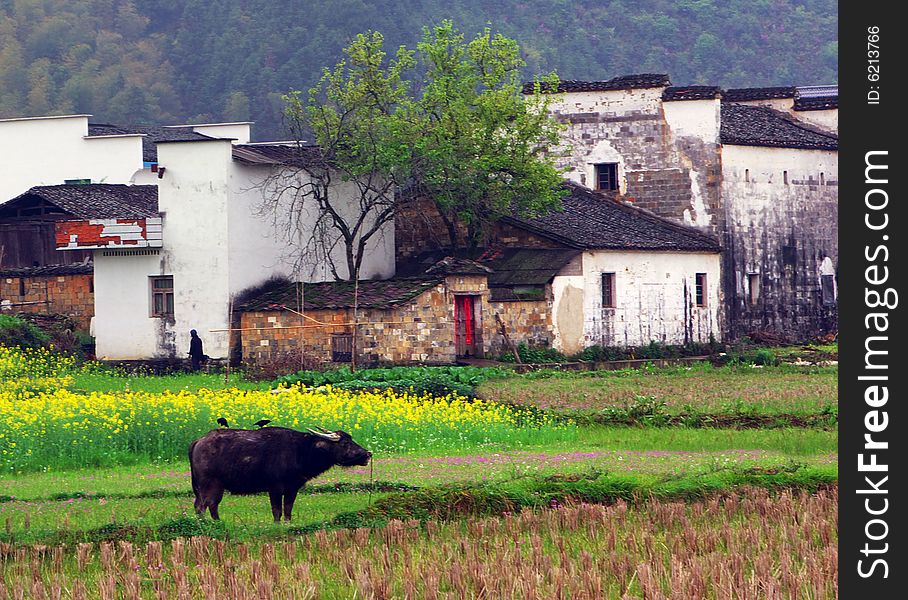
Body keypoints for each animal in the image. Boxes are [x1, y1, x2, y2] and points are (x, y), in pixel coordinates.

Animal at [188, 426, 368, 520]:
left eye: (351, 439)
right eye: (345, 443)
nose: (367, 454)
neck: (300, 451)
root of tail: (199, 441)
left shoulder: (292, 489)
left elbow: (287, 510)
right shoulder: (274, 489)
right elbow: (277, 511)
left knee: (209, 505)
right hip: (208, 485)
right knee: (203, 505)